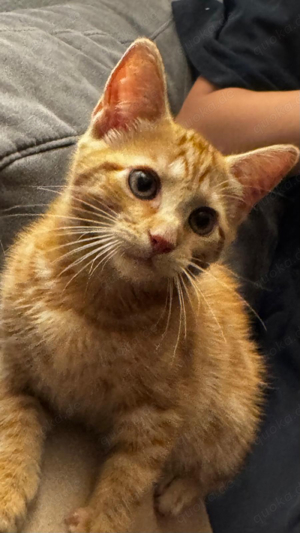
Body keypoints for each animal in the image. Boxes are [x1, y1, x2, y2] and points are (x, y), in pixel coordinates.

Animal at [0, 38, 298, 532]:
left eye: (203, 220)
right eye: (143, 182)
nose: (163, 240)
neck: (96, 302)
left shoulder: (160, 416)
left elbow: (131, 476)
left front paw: (101, 519)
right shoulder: (10, 360)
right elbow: (10, 422)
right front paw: (7, 490)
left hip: (233, 411)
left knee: (219, 465)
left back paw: (180, 491)